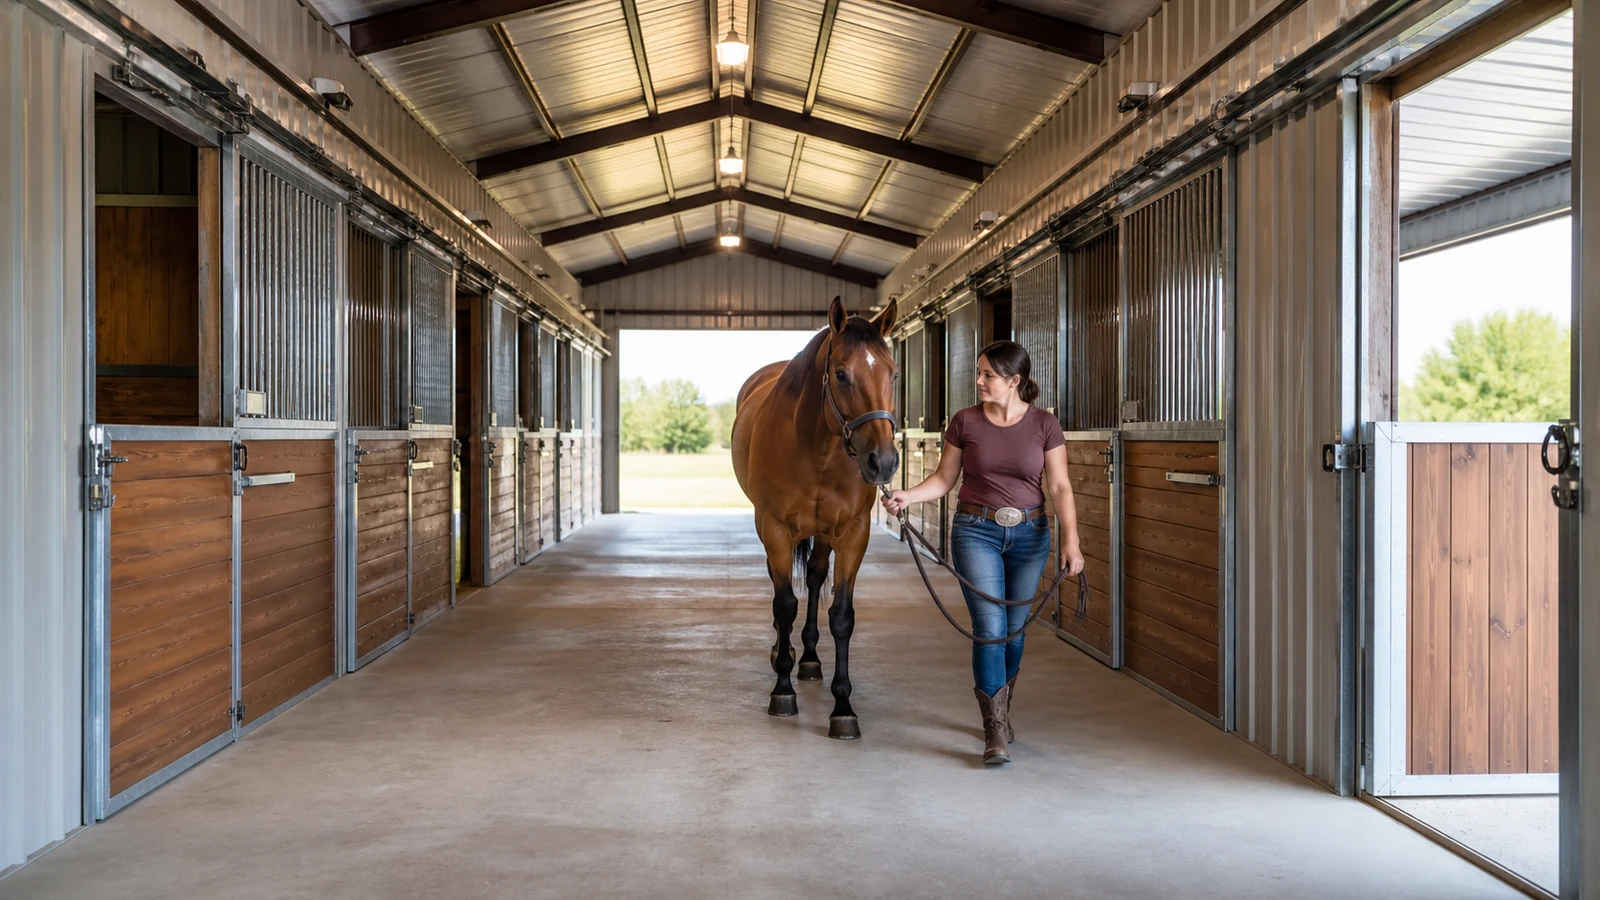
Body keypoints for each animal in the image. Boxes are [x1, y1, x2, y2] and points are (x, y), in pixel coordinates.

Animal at [731, 296, 899, 740]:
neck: (817, 450)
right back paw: (785, 652)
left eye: (893, 373)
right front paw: (782, 691)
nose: (883, 462)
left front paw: (843, 708)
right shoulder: (774, 529)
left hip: (824, 536)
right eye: (840, 374)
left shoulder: (853, 533)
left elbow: (840, 614)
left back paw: (807, 657)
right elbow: (784, 605)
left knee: (815, 576)